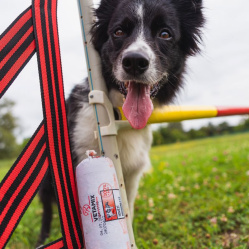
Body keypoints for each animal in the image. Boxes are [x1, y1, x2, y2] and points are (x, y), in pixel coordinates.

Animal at [37, 0, 204, 245]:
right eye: (118, 32)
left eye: (165, 34)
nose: (134, 61)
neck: (118, 113)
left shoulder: (132, 173)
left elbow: (128, 210)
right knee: (48, 211)